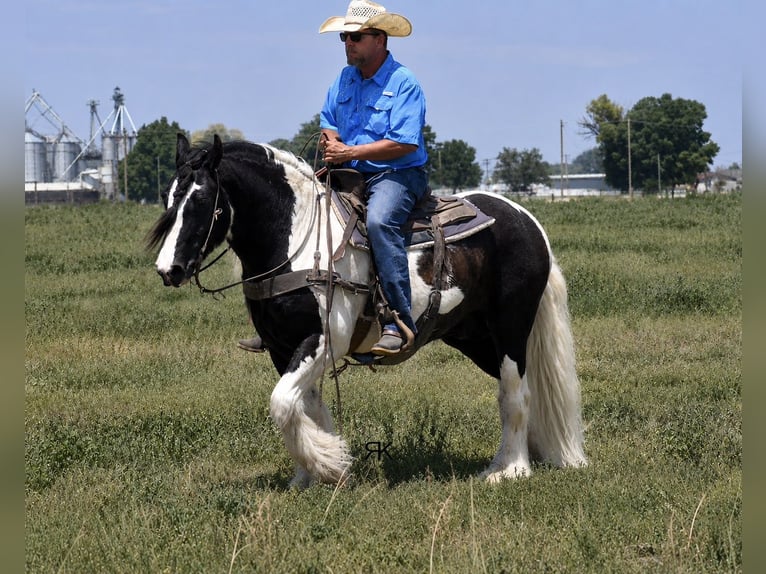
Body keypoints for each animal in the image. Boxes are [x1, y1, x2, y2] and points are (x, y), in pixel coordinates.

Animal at [148, 133, 587, 489]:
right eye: (169, 198)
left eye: (202, 199)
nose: (169, 270)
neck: (297, 241)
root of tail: (527, 221)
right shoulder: (281, 348)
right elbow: (305, 407)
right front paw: (315, 473)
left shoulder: (324, 341)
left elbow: (282, 403)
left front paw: (327, 463)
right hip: (473, 336)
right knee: (518, 391)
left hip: (510, 326)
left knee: (515, 392)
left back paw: (510, 469)